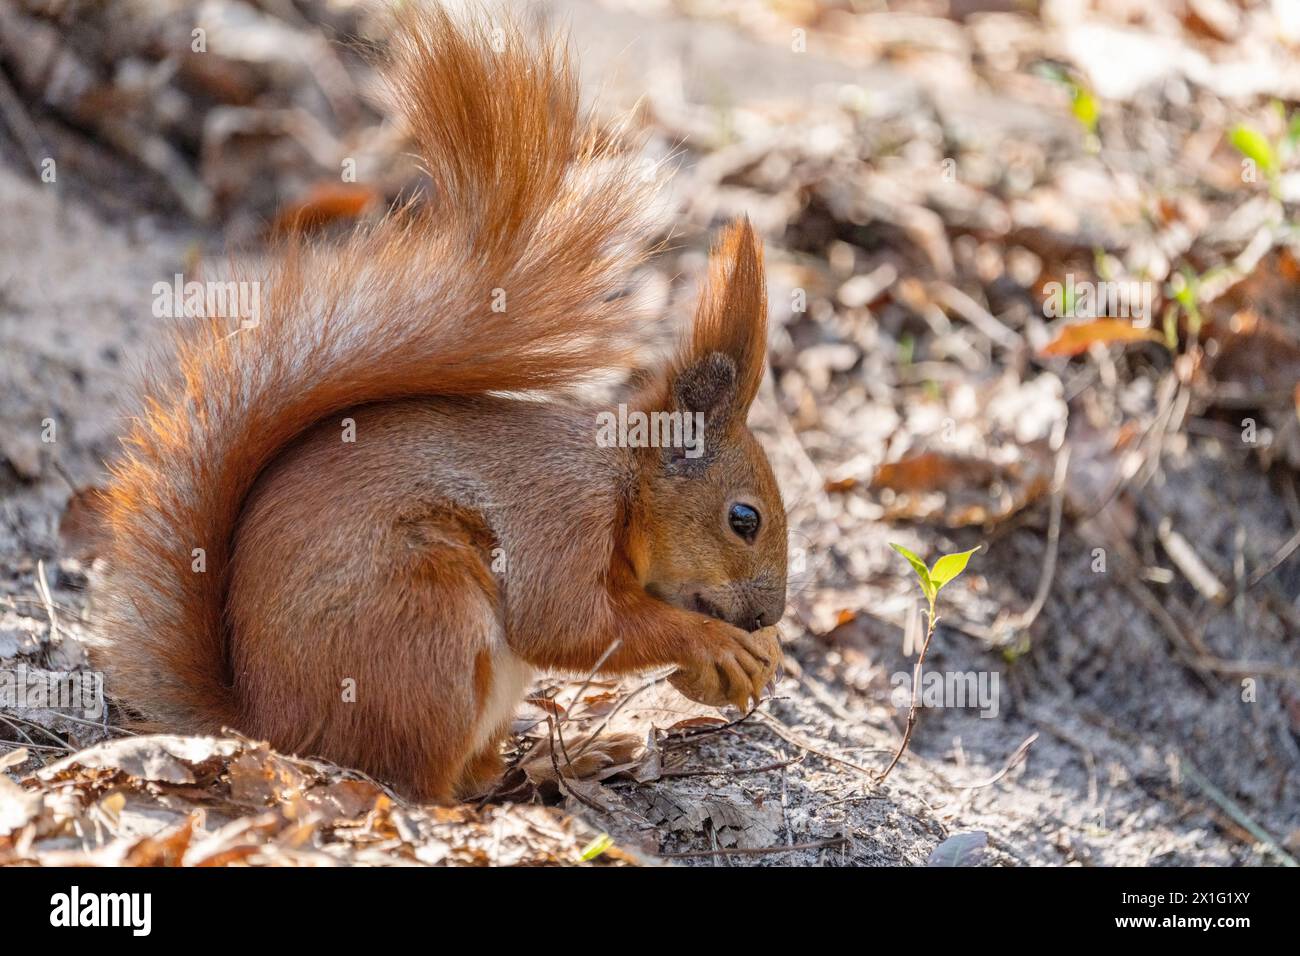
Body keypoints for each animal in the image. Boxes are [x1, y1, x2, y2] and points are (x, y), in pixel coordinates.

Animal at [90, 6, 788, 802]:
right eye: (743, 519)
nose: (769, 614)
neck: (623, 483)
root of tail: (271, 726)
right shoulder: (561, 515)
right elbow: (566, 622)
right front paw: (714, 643)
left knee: (476, 772)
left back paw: (569, 759)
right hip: (430, 624)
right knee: (424, 782)